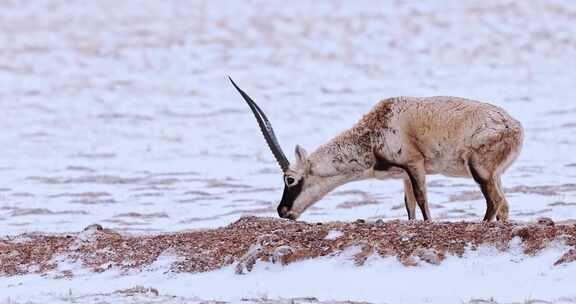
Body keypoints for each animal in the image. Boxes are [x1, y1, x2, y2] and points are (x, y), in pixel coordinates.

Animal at [228, 78, 520, 221]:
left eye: (290, 179)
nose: (282, 211)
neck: (374, 128)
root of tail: (515, 126)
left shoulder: (414, 165)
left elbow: (423, 205)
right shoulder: (404, 176)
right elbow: (410, 208)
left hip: (479, 170)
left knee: (495, 203)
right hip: (495, 175)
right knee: (504, 206)